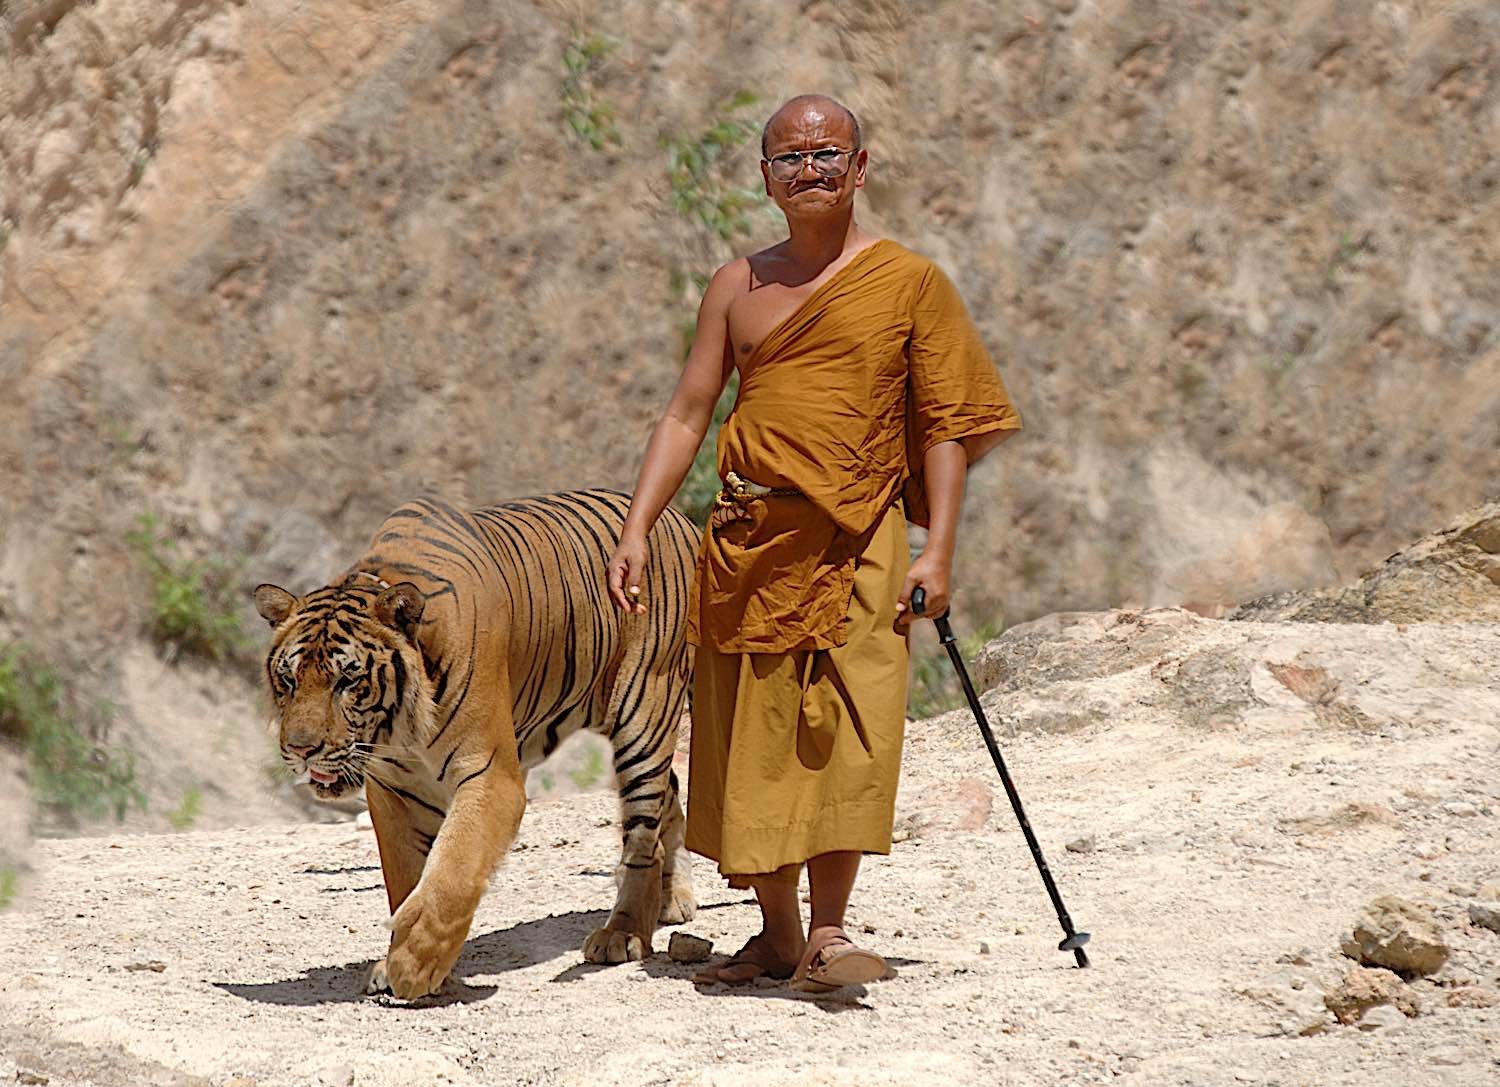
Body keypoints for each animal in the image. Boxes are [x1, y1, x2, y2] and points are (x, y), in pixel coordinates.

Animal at [255, 488, 699, 995]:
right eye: (288, 680)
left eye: (346, 682)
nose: (300, 749)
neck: (401, 729)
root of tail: (681, 519)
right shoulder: (393, 792)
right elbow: (407, 879)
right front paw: (407, 962)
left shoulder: (491, 776)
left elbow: (454, 868)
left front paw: (413, 966)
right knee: (670, 795)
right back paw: (673, 901)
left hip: (643, 710)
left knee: (645, 833)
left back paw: (622, 934)